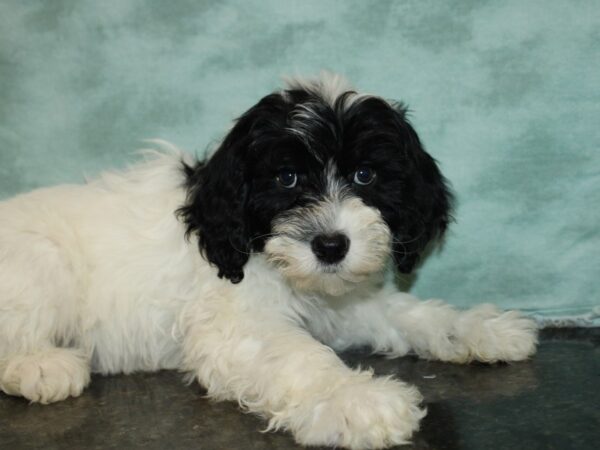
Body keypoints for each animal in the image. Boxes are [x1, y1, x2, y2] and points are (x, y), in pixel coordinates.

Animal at [0, 72, 536, 448]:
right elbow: (301, 356)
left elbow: (412, 314)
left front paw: (482, 330)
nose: (330, 246)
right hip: (39, 261)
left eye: (365, 175)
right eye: (286, 179)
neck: (256, 246)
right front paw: (358, 399)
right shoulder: (237, 326)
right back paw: (42, 367)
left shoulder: (345, 302)